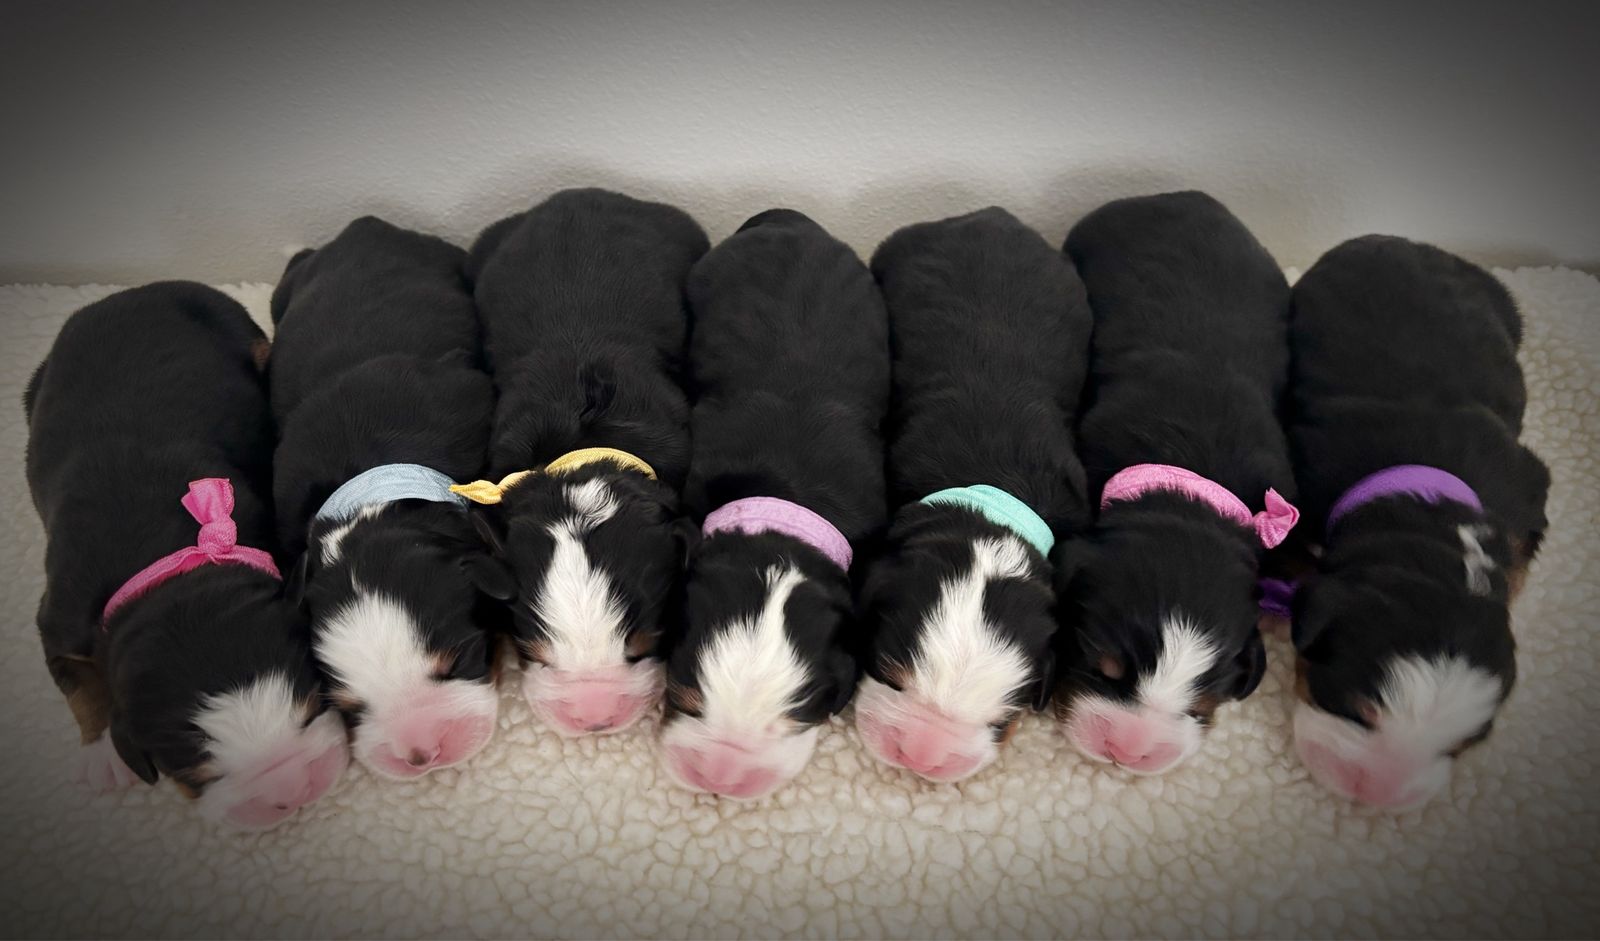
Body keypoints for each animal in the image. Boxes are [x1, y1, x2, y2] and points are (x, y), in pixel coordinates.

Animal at [24, 282, 348, 829]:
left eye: (312, 709)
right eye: (197, 775)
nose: (292, 793)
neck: (174, 577)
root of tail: (136, 291)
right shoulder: (60, 614)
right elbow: (79, 683)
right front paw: (103, 756)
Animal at [1285, 235, 1550, 810]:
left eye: (1461, 746)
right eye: (1354, 709)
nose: (1379, 793)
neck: (1434, 517)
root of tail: (1403, 240)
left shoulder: (1527, 483)